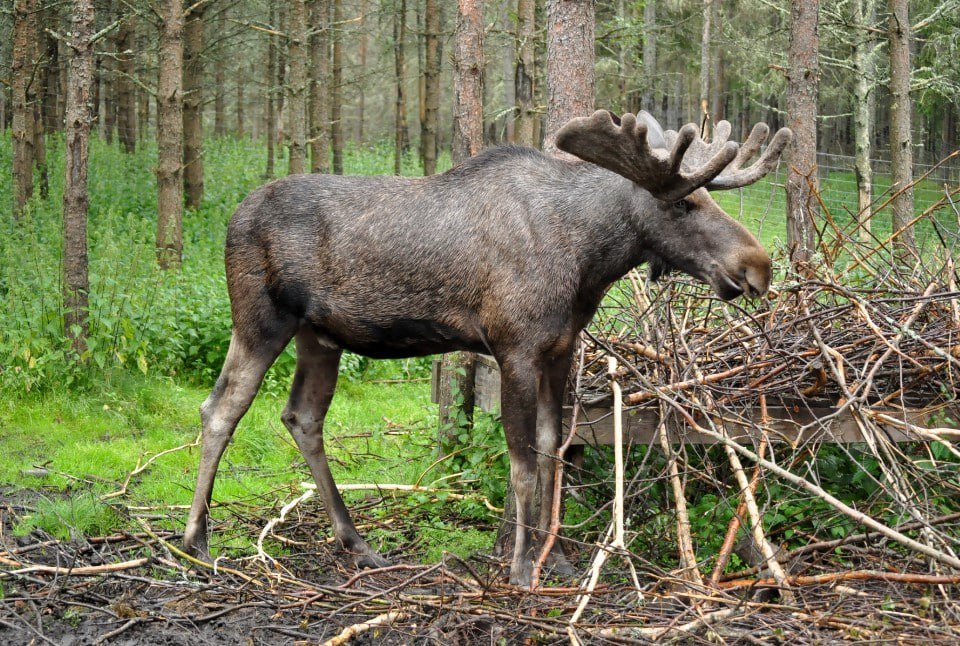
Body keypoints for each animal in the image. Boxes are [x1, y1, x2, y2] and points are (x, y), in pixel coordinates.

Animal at [184, 112, 792, 592]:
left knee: (302, 416)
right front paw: (521, 568)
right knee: (221, 409)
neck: (588, 261)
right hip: (261, 321)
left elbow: (552, 451)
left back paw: (355, 542)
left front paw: (560, 558)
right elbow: (521, 464)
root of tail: (233, 217)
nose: (758, 266)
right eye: (685, 203)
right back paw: (196, 542)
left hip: (320, 336)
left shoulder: (560, 349)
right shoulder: (514, 347)